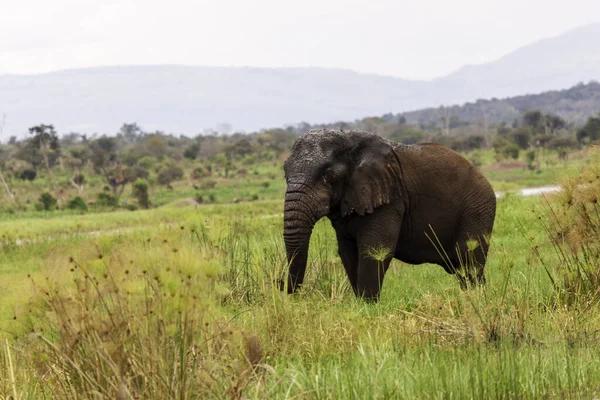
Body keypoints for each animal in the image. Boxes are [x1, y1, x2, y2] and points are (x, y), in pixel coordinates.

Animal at [282, 130, 496, 302]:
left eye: (328, 176)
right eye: (285, 175)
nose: (283, 288)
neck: (349, 139)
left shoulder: (390, 198)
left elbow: (375, 250)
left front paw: (367, 307)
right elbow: (348, 252)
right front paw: (361, 304)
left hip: (477, 210)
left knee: (469, 261)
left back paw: (476, 298)